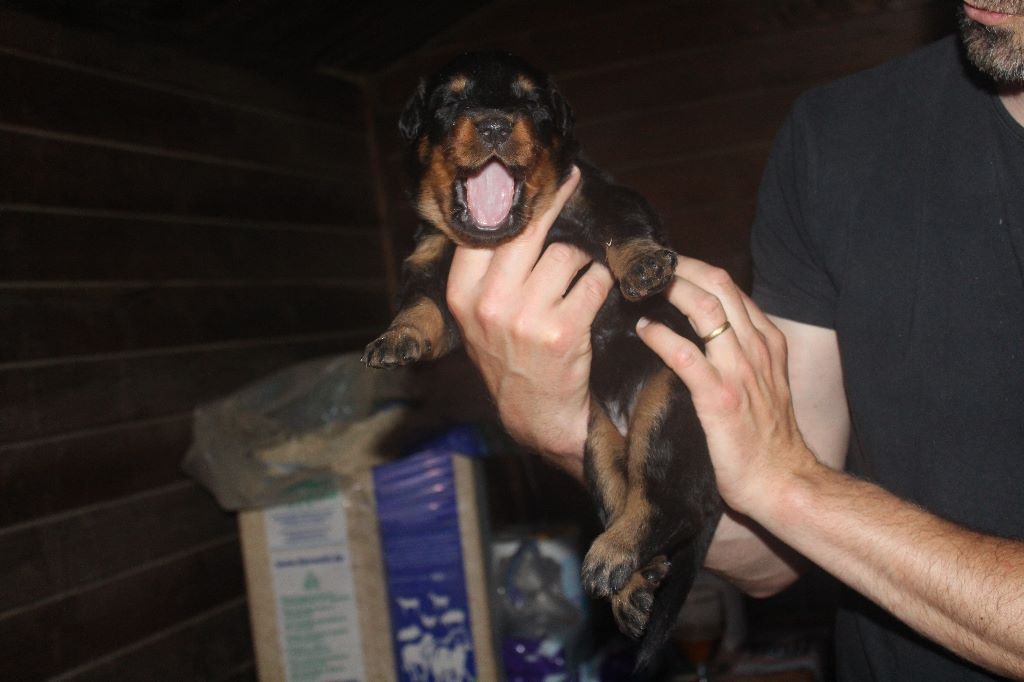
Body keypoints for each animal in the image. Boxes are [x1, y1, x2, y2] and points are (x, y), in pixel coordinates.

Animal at [363, 51, 723, 671]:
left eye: (530, 101)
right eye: (451, 101)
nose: (493, 125)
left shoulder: (600, 194)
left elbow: (622, 227)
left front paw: (644, 265)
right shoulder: (431, 252)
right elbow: (422, 306)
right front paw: (398, 338)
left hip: (668, 398)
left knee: (674, 500)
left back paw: (613, 557)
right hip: (599, 443)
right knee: (626, 495)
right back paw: (630, 582)